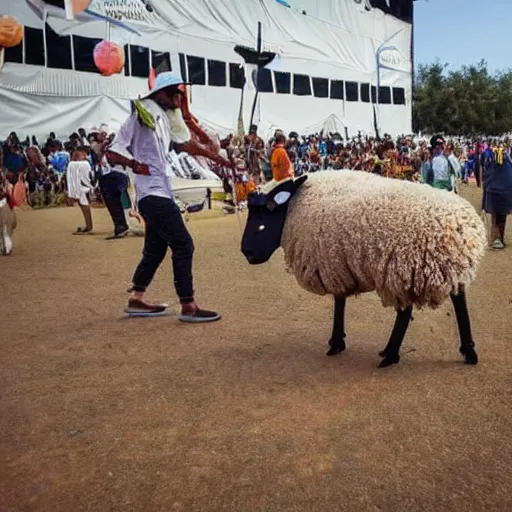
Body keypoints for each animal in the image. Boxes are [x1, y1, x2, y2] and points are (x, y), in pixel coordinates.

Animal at [241, 172, 488, 368]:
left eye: (266, 213)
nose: (247, 252)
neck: (293, 209)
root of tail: (464, 227)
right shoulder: (337, 263)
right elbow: (340, 300)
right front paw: (338, 340)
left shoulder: (332, 264)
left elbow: (339, 300)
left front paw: (336, 342)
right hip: (445, 267)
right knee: (458, 297)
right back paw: (469, 351)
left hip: (403, 267)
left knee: (405, 311)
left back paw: (390, 355)